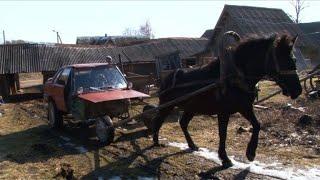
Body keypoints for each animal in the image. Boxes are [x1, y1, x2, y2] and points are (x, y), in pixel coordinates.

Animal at [151, 32, 302, 167]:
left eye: (294, 60)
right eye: (283, 61)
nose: (298, 90)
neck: (235, 76)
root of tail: (167, 77)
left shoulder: (245, 107)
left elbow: (257, 125)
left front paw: (250, 153)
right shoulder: (223, 112)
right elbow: (222, 134)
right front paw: (225, 158)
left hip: (191, 108)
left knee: (183, 123)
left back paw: (192, 144)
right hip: (167, 105)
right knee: (158, 120)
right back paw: (156, 141)